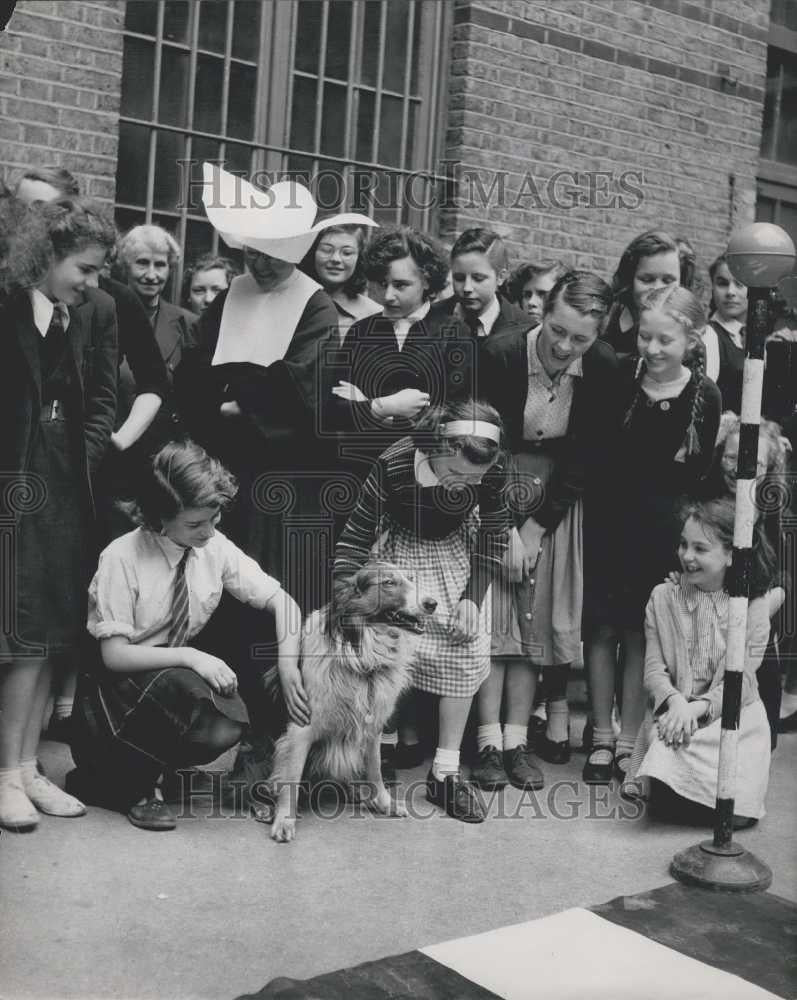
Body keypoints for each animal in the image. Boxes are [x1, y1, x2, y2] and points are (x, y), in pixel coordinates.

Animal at [268, 564, 436, 844]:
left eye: (411, 578)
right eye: (389, 583)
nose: (432, 603)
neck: (363, 656)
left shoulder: (372, 727)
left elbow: (375, 768)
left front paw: (384, 803)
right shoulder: (301, 728)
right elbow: (291, 776)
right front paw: (284, 820)